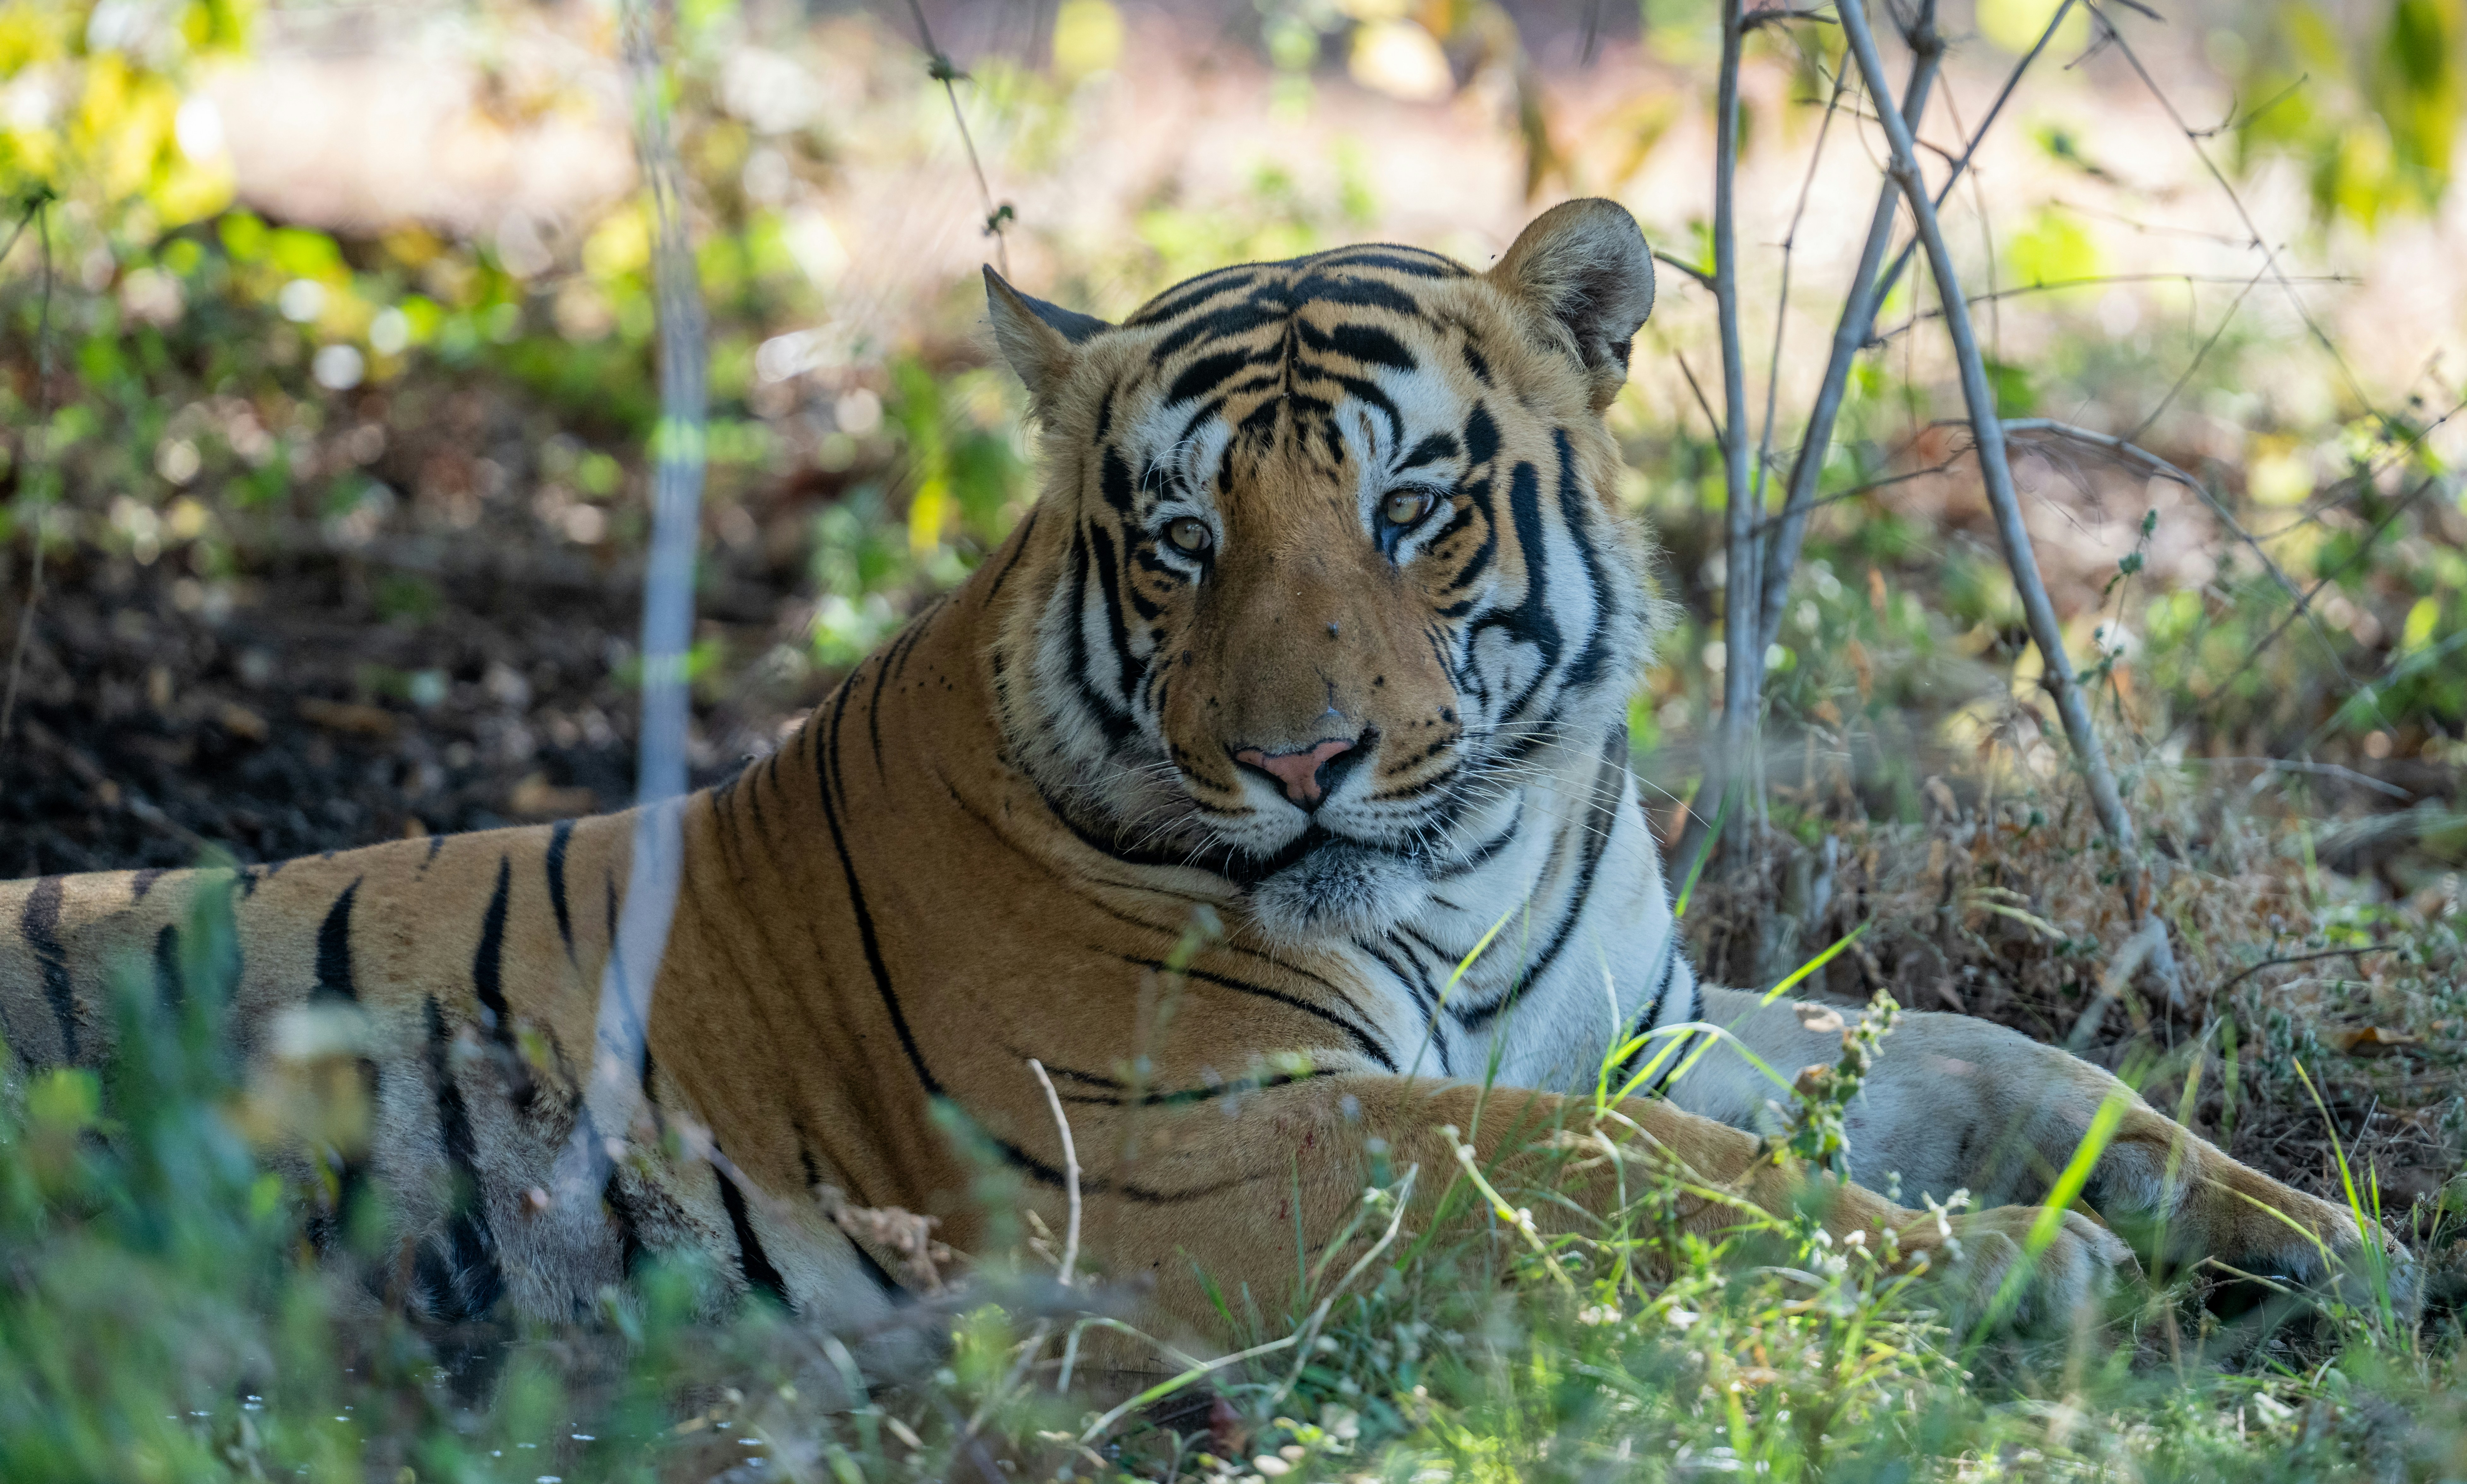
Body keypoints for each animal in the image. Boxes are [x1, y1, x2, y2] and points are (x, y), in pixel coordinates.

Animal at [0, 199, 2391, 1364]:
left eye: (1411, 506)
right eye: (1175, 538)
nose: (1302, 758)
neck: (1468, 869)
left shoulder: (1636, 1019)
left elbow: (2006, 1066)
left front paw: (2312, 1240)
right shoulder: (1204, 1149)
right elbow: (1626, 1179)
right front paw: (2005, 1281)